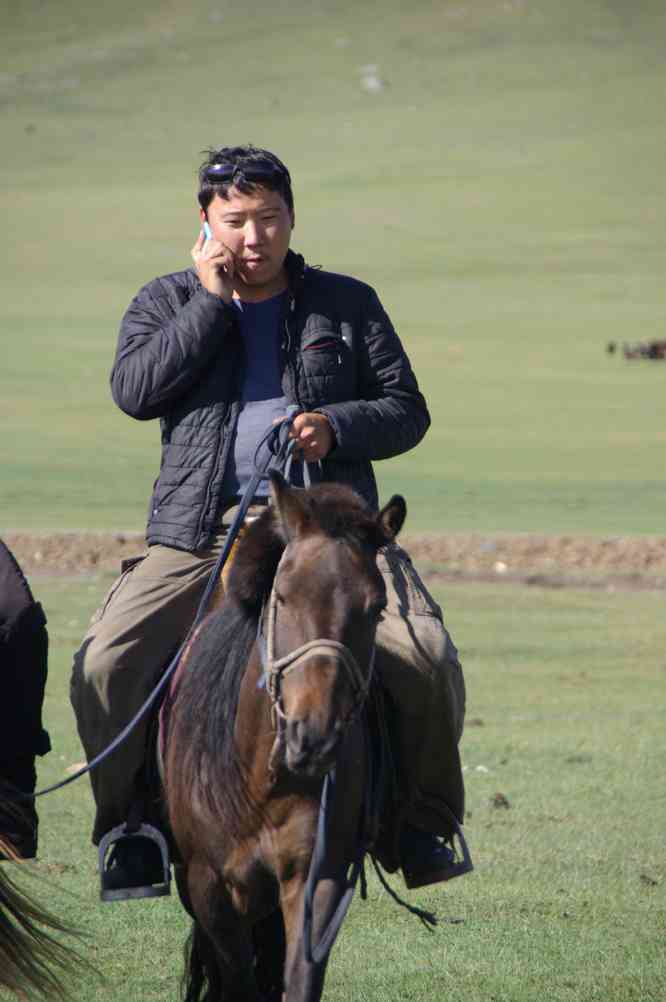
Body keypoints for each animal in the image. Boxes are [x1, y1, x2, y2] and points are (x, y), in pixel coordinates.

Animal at [166, 472, 404, 1002]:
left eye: (377, 607)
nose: (312, 736)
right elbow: (237, 979)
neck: (262, 780)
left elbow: (299, 977)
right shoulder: (209, 887)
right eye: (283, 596)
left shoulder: (319, 878)